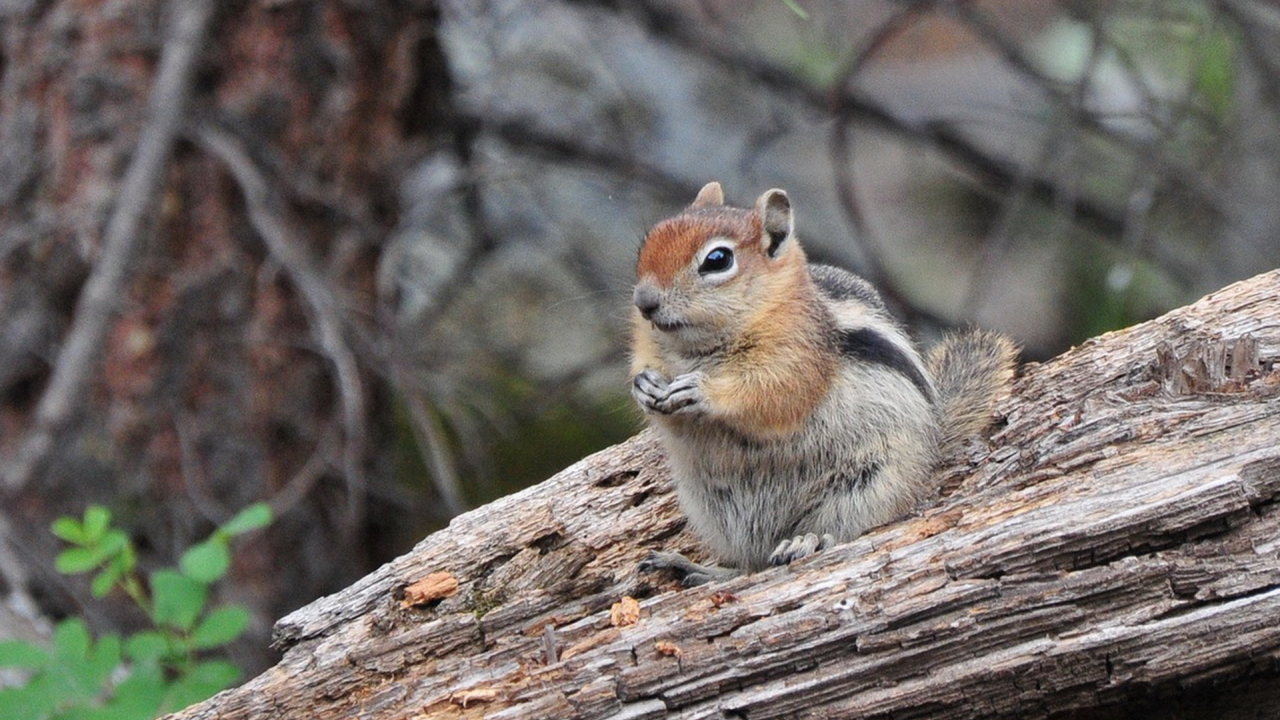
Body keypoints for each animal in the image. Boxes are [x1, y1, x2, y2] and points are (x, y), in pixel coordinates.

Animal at [632, 180, 1018, 584]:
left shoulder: (799, 358)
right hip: (709, 506)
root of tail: (934, 445)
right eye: (648, 243)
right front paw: (644, 386)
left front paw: (702, 391)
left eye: (717, 260)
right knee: (749, 563)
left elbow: (773, 395)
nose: (644, 302)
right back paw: (698, 568)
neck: (698, 350)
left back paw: (806, 541)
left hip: (867, 482)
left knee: (837, 531)